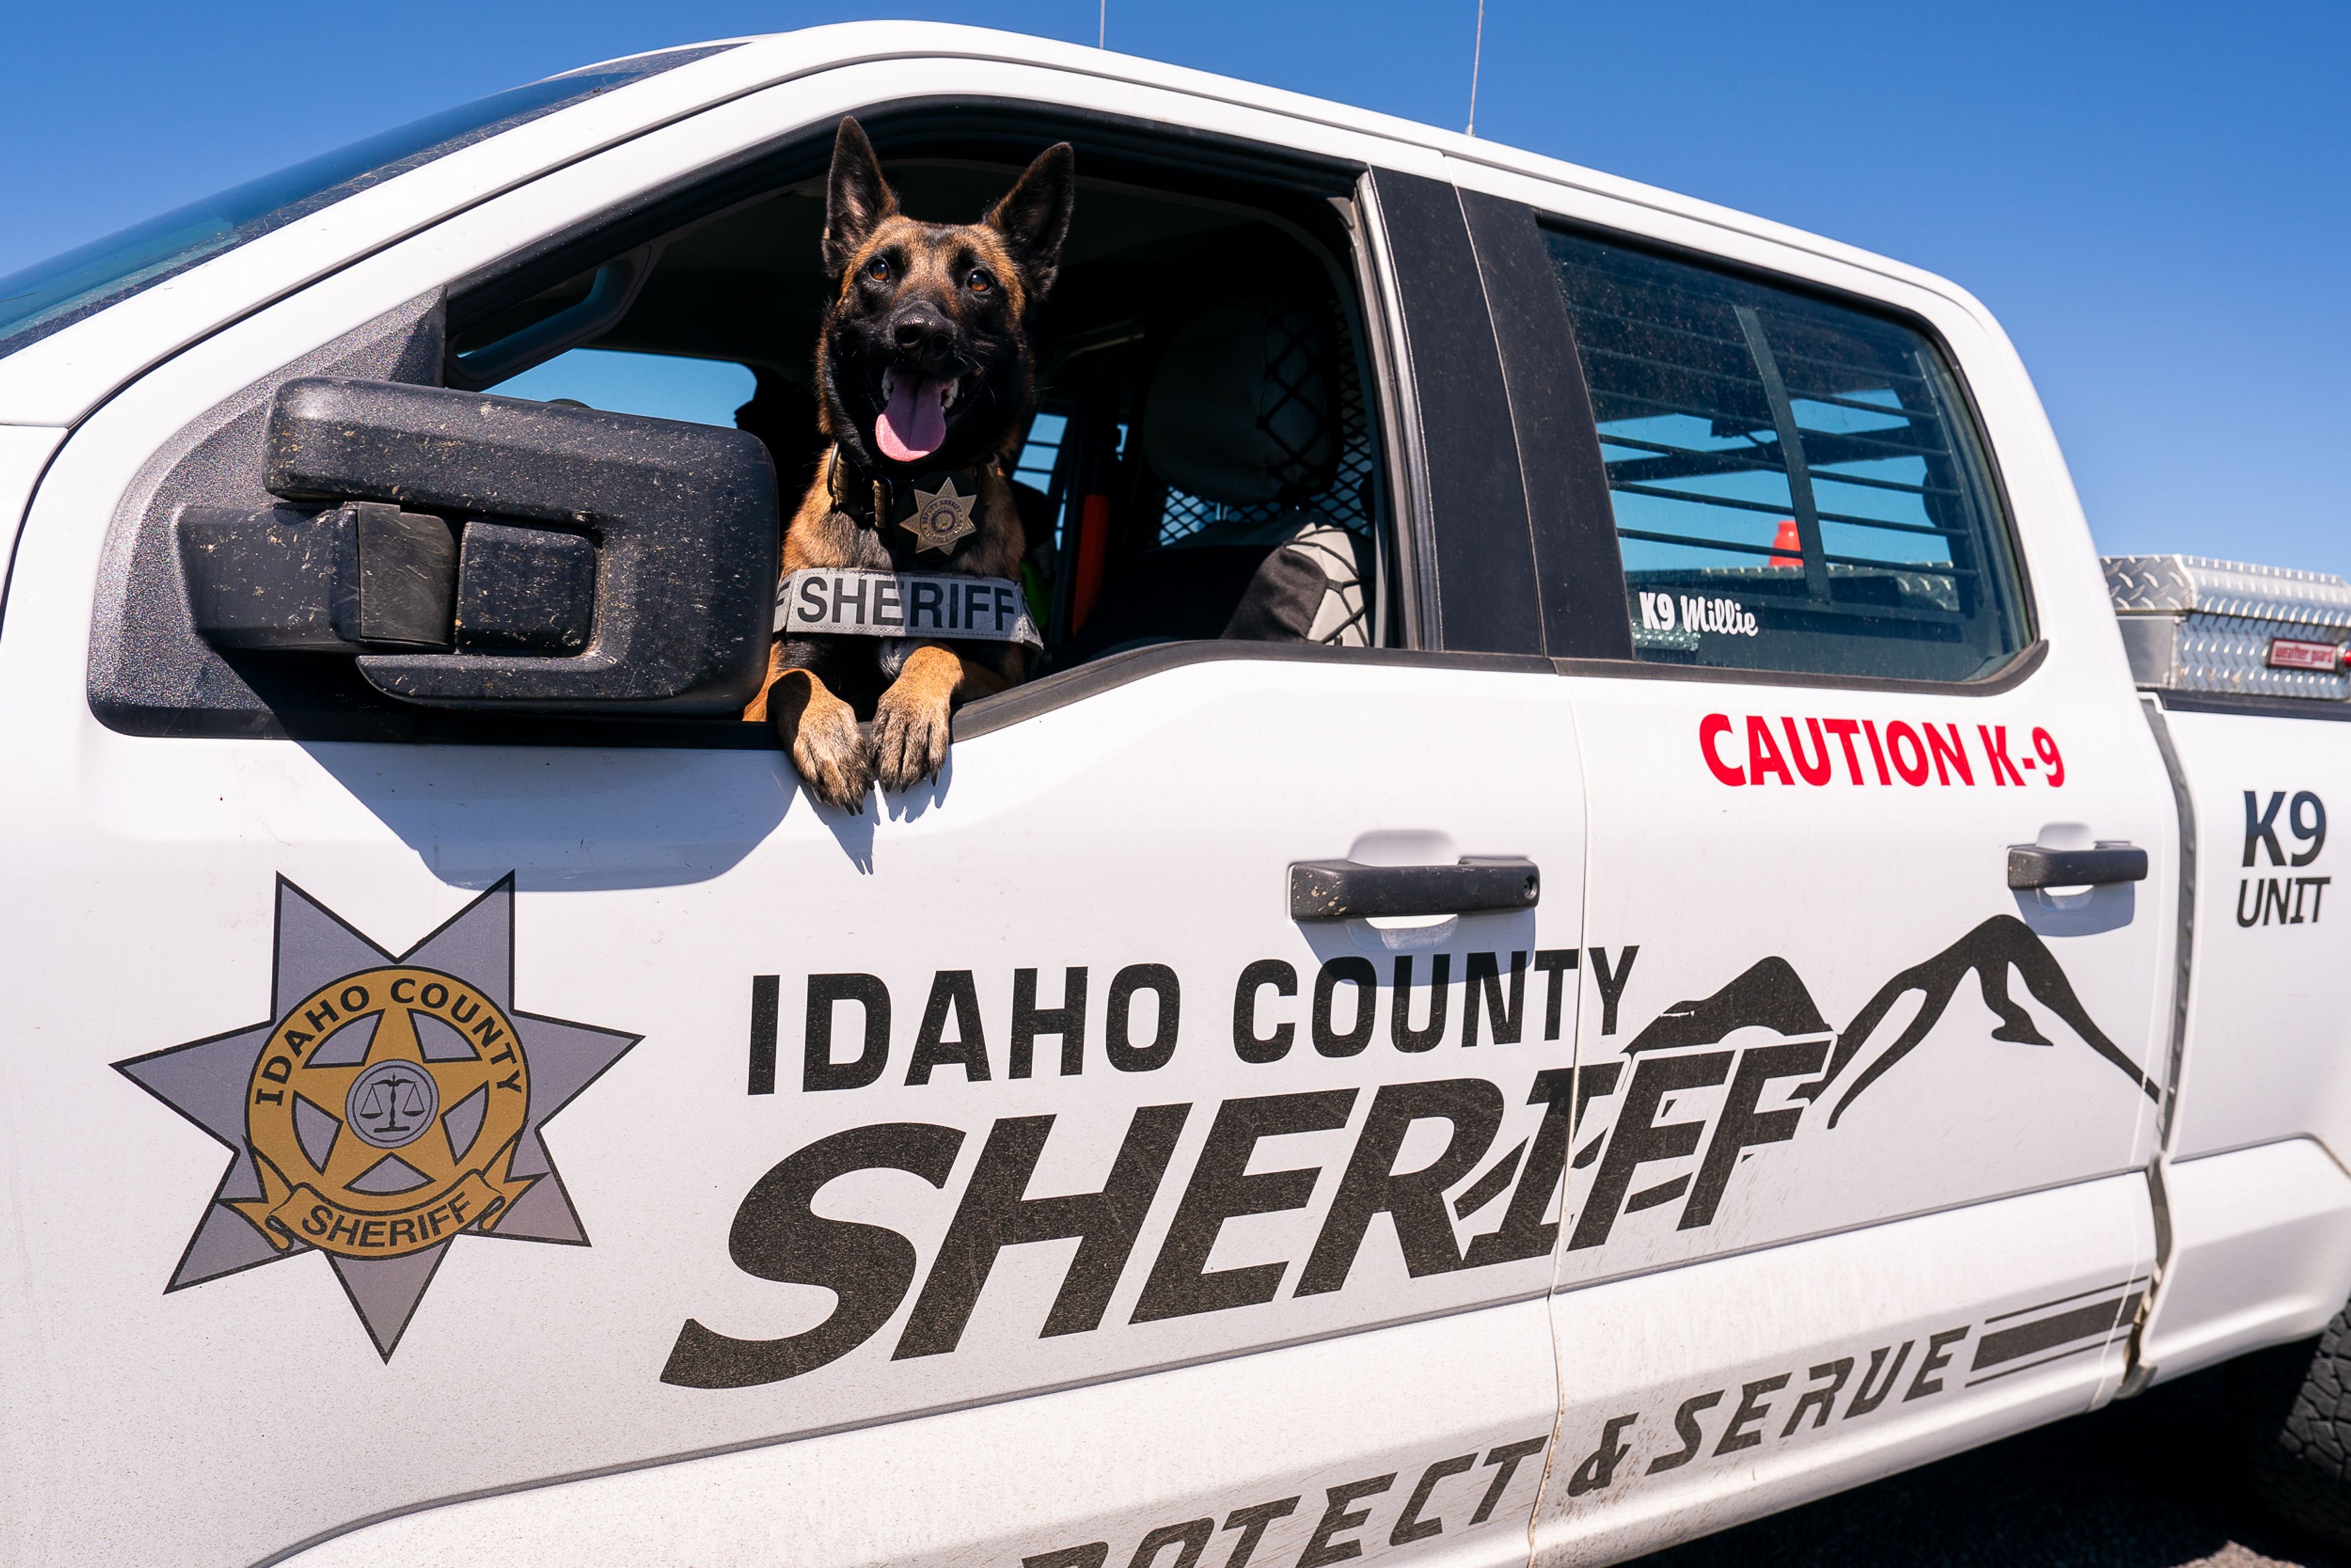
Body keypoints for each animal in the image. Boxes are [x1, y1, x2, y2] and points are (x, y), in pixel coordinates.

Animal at [748, 119, 1076, 808]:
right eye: (879, 270)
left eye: (978, 281)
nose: (920, 333)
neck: (901, 503)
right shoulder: (771, 680)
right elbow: (794, 683)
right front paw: (828, 731)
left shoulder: (1002, 677)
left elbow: (934, 652)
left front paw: (905, 713)